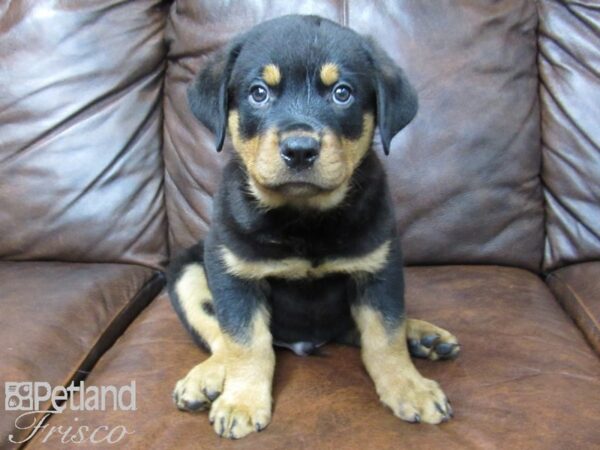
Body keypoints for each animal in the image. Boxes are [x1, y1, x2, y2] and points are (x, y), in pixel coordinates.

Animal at [168, 14, 460, 440]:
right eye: (258, 93)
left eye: (342, 93)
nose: (300, 150)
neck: (303, 218)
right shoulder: (234, 274)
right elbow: (245, 342)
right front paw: (242, 401)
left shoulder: (379, 268)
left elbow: (384, 337)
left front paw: (409, 387)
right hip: (186, 272)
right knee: (219, 336)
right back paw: (206, 377)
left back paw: (423, 336)